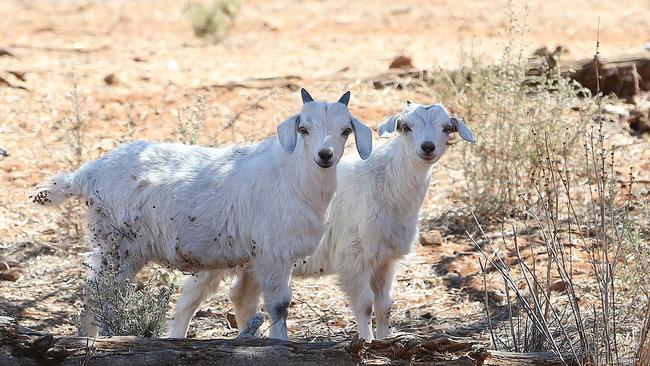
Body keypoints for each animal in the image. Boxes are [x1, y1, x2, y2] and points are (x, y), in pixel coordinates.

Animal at [30, 88, 372, 340]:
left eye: (345, 131)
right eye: (303, 129)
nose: (325, 156)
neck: (292, 176)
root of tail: (87, 173)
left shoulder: (255, 258)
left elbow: (249, 305)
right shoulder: (274, 253)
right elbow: (279, 305)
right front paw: (280, 344)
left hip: (110, 247)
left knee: (92, 291)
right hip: (119, 247)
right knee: (105, 294)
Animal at [173, 102, 470, 340]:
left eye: (447, 128)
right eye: (406, 127)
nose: (427, 147)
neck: (384, 182)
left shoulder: (385, 259)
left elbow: (385, 306)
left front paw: (385, 341)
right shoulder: (353, 256)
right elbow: (365, 304)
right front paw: (367, 342)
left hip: (254, 258)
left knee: (241, 296)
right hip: (215, 252)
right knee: (188, 299)